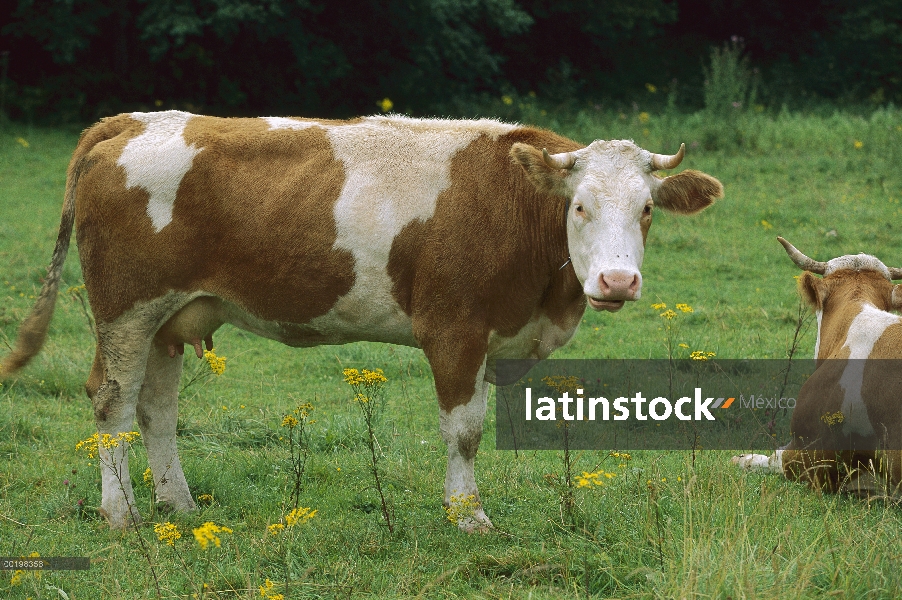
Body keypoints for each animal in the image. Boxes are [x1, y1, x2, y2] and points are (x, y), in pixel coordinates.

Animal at [0, 111, 724, 528]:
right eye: (579, 206)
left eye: (647, 209)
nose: (617, 282)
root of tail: (132, 120)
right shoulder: (454, 330)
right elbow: (464, 431)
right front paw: (468, 516)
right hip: (126, 308)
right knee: (113, 401)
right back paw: (120, 512)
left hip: (168, 316)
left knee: (155, 408)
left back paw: (176, 502)